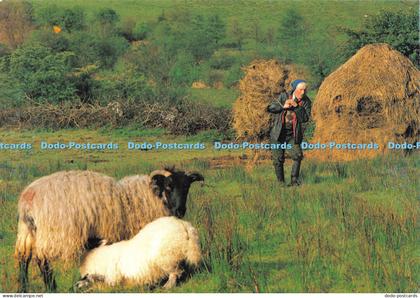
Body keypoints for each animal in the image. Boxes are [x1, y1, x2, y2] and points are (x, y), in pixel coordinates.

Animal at [13, 166, 203, 292]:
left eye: (187, 187)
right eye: (169, 186)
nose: (180, 211)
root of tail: (27, 200)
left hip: (27, 231)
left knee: (24, 258)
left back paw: (24, 287)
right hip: (54, 233)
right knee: (42, 259)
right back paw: (51, 287)